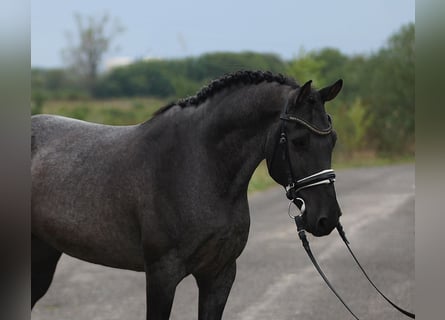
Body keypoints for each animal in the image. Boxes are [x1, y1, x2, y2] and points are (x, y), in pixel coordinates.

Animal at [31, 71, 344, 318]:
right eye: (299, 141)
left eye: (333, 139)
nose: (327, 218)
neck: (198, 165)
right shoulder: (162, 276)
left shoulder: (219, 275)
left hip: (44, 255)